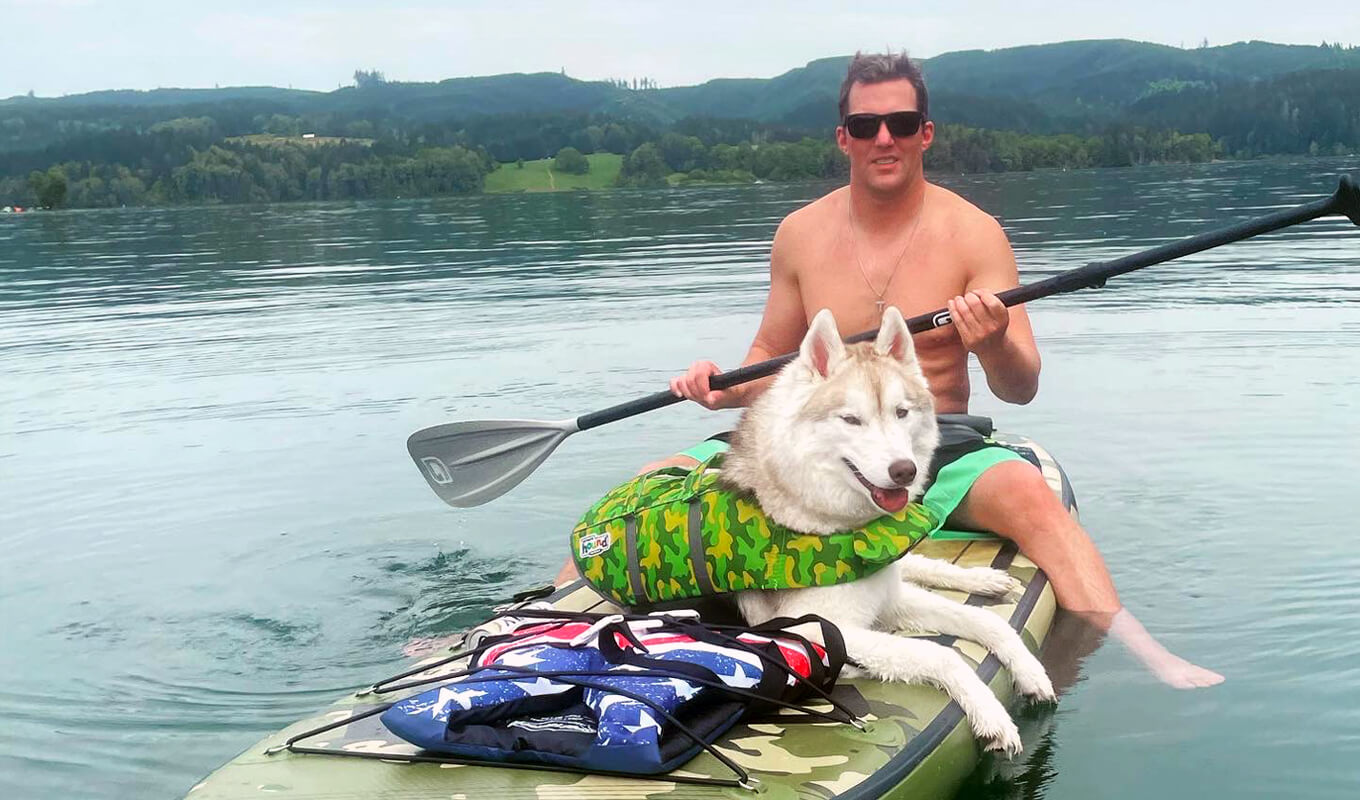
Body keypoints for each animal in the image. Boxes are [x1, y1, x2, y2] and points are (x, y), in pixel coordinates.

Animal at [718, 306, 1055, 756]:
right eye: (850, 419)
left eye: (901, 412)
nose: (905, 471)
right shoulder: (817, 629)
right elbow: (941, 655)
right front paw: (990, 715)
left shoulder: (889, 599)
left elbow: (988, 622)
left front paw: (1031, 672)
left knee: (919, 563)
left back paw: (983, 579)